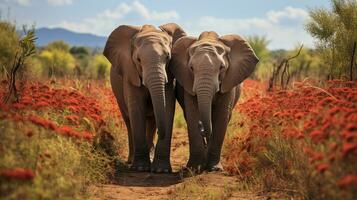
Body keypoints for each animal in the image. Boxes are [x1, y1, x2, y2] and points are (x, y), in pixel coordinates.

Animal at [103, 23, 185, 172]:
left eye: (168, 58)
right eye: (138, 60)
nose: (161, 133)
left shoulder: (170, 75)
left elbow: (167, 107)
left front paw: (161, 171)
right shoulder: (130, 72)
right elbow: (136, 109)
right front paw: (140, 168)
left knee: (152, 120)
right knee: (128, 121)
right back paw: (131, 161)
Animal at [168, 31, 258, 172]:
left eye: (221, 68)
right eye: (191, 68)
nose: (201, 125)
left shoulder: (229, 81)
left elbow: (221, 117)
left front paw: (215, 169)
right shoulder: (188, 81)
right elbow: (192, 115)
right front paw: (193, 168)